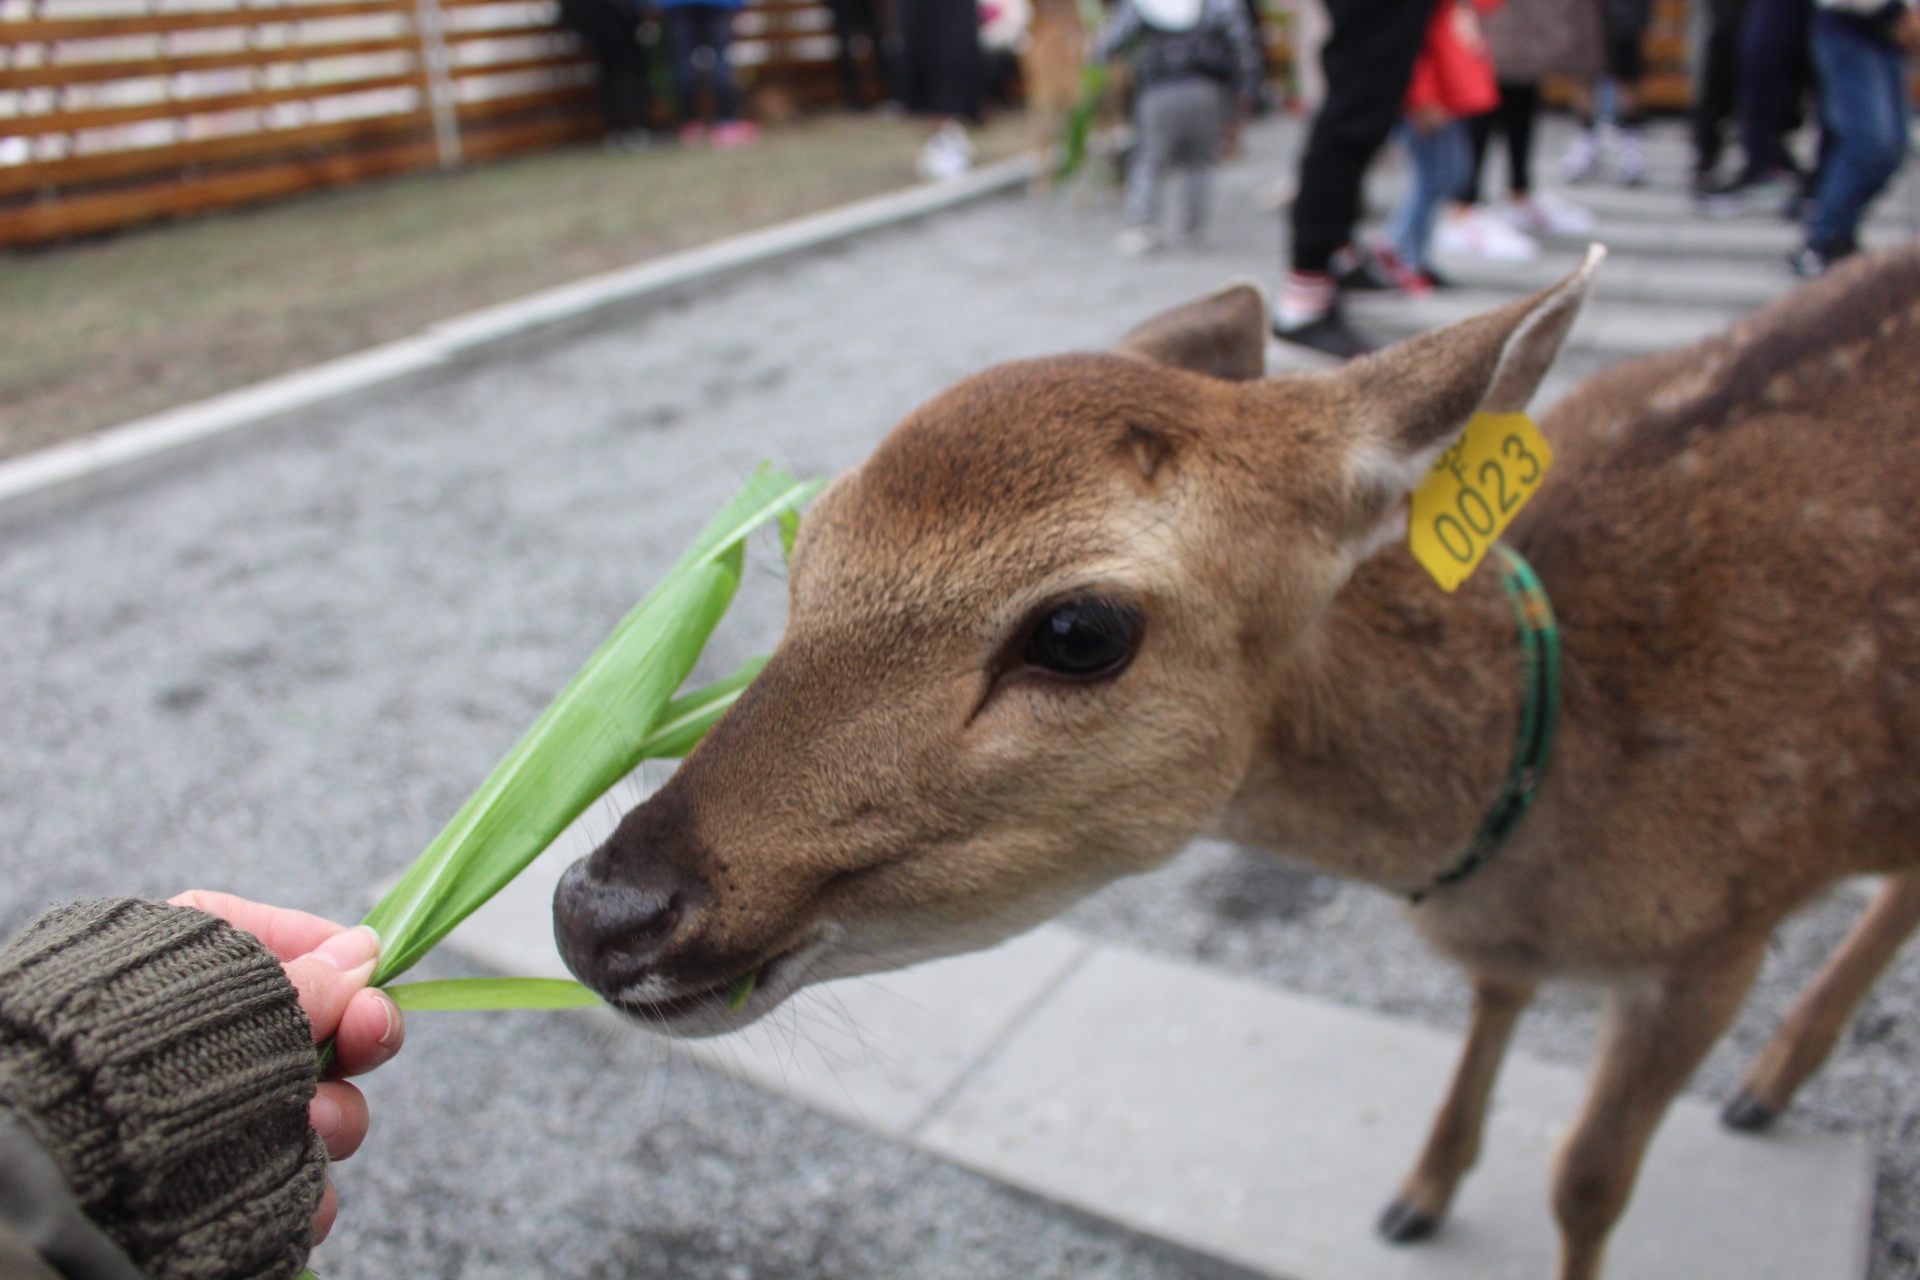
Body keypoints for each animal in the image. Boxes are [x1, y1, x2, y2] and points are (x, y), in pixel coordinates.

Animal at [549, 242, 1920, 1280]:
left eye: (1079, 630)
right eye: (807, 537)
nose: (599, 907)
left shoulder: (1722, 929)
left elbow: (1587, 1181)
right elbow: (1495, 999)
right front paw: (1417, 1190)